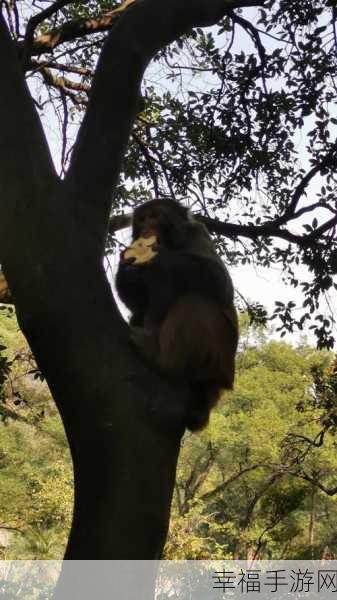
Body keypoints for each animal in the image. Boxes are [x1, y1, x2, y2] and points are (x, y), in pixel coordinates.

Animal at [116, 199, 239, 428]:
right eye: (142, 219)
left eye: (155, 216)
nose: (146, 230)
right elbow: (136, 301)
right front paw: (127, 268)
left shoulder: (197, 232)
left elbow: (220, 281)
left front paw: (159, 255)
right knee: (141, 311)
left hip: (219, 355)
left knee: (194, 302)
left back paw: (160, 357)